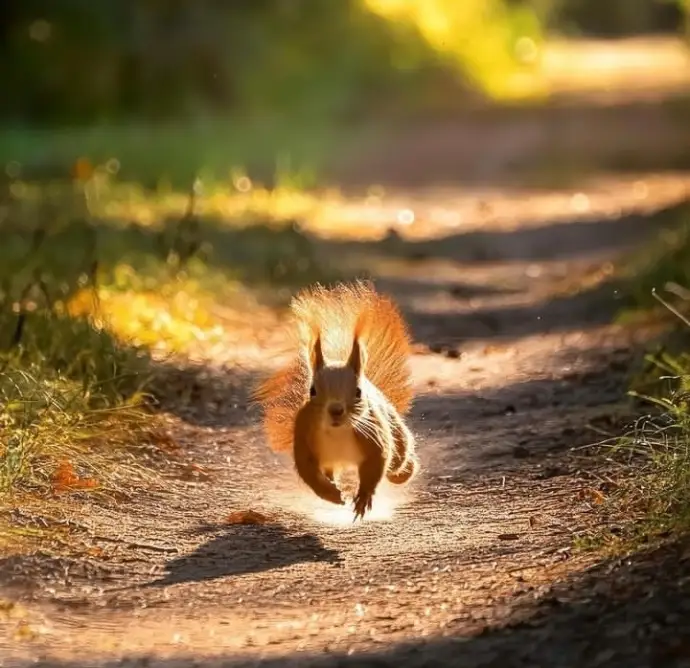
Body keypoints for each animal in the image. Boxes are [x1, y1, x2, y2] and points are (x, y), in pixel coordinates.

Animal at [251, 280, 416, 520]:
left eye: (358, 392)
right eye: (312, 391)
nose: (336, 410)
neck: (337, 431)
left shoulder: (373, 433)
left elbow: (377, 462)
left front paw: (363, 498)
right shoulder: (304, 434)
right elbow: (308, 471)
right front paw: (331, 494)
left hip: (395, 431)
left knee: (398, 459)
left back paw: (404, 472)